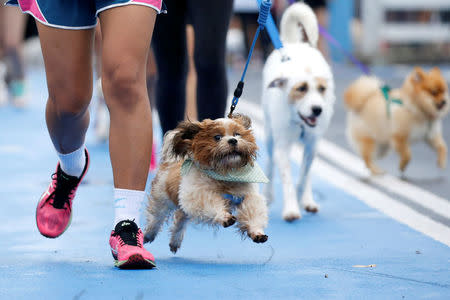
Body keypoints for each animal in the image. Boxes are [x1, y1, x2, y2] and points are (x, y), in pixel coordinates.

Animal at [145, 115, 268, 253]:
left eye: (237, 134)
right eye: (217, 137)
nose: (233, 140)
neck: (225, 173)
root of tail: (170, 162)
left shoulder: (248, 196)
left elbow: (253, 211)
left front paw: (256, 231)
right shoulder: (196, 195)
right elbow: (212, 203)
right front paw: (224, 217)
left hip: (182, 207)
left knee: (180, 220)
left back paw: (175, 241)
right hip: (162, 198)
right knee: (156, 217)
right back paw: (148, 234)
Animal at [260, 2, 334, 221]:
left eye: (321, 89)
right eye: (301, 89)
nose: (317, 110)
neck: (299, 121)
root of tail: (293, 44)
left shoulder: (312, 144)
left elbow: (303, 176)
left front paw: (304, 199)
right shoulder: (282, 146)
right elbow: (287, 179)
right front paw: (291, 209)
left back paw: (307, 199)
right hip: (269, 136)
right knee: (270, 163)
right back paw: (268, 195)